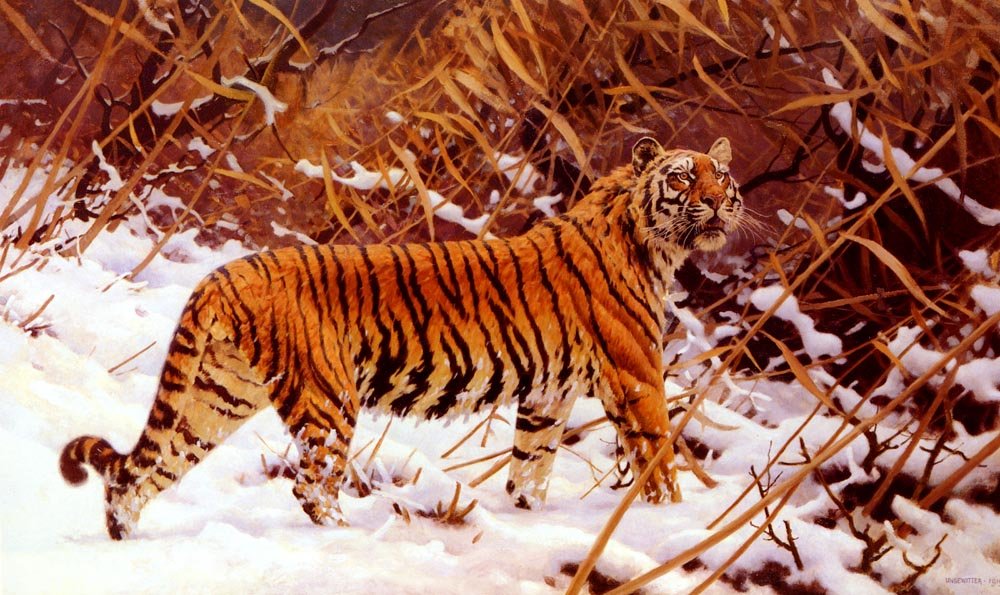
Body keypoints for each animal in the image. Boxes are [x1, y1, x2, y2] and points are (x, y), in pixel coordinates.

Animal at [60, 136, 744, 540]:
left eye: (721, 177)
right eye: (683, 179)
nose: (717, 202)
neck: (653, 244)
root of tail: (225, 272)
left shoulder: (550, 394)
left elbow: (531, 467)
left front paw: (528, 516)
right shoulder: (636, 376)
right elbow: (660, 459)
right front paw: (669, 522)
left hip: (216, 394)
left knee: (143, 472)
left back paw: (124, 543)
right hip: (327, 398)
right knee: (312, 486)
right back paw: (348, 539)